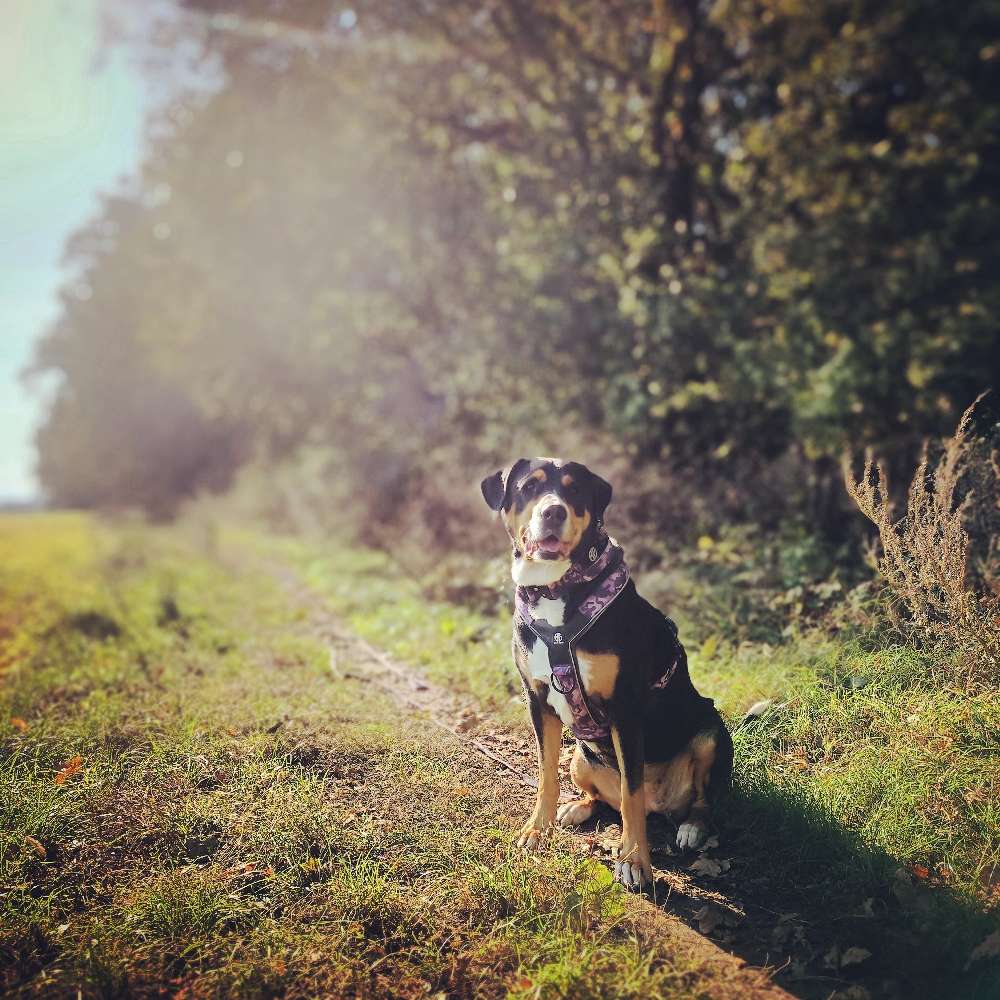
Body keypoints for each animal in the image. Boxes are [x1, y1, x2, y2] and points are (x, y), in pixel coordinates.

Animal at [480, 458, 732, 892]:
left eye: (574, 491)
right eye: (529, 487)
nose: (553, 512)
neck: (555, 591)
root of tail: (663, 804)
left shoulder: (625, 710)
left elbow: (632, 795)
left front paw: (634, 863)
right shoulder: (538, 700)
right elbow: (545, 775)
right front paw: (537, 830)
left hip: (711, 733)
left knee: (699, 799)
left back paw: (691, 828)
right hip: (580, 757)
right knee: (600, 796)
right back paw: (577, 808)